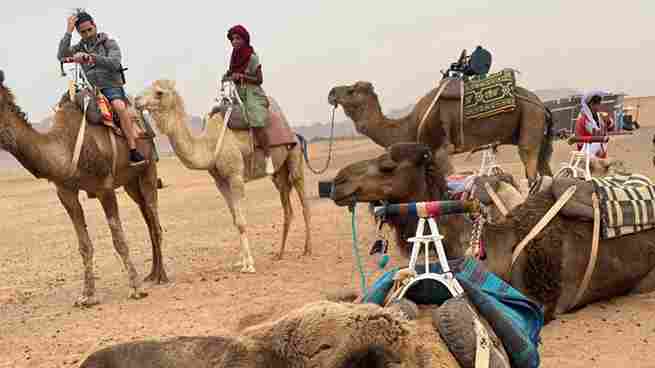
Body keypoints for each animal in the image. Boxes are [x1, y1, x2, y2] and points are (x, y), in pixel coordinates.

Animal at [0, 70, 168, 306]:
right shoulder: (65, 192)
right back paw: (151, 274)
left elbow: (119, 240)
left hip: (148, 169)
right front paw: (87, 295)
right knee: (147, 217)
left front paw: (135, 289)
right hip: (130, 183)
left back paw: (162, 276)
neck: (65, 147)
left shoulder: (105, 188)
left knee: (154, 220)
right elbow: (84, 245)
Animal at [135, 78, 312, 274]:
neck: (209, 145)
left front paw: (249, 264)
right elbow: (235, 219)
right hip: (279, 174)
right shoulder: (220, 182)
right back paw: (280, 253)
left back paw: (307, 250)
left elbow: (241, 221)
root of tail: (294, 133)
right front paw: (240, 261)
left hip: (294, 157)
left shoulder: (235, 176)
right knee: (287, 207)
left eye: (159, 92)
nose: (136, 100)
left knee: (303, 200)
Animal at [328, 81, 552, 183]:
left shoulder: (440, 149)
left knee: (530, 164)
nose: (331, 93)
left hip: (530, 117)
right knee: (546, 169)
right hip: (535, 127)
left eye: (351, 90)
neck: (409, 125)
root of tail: (541, 105)